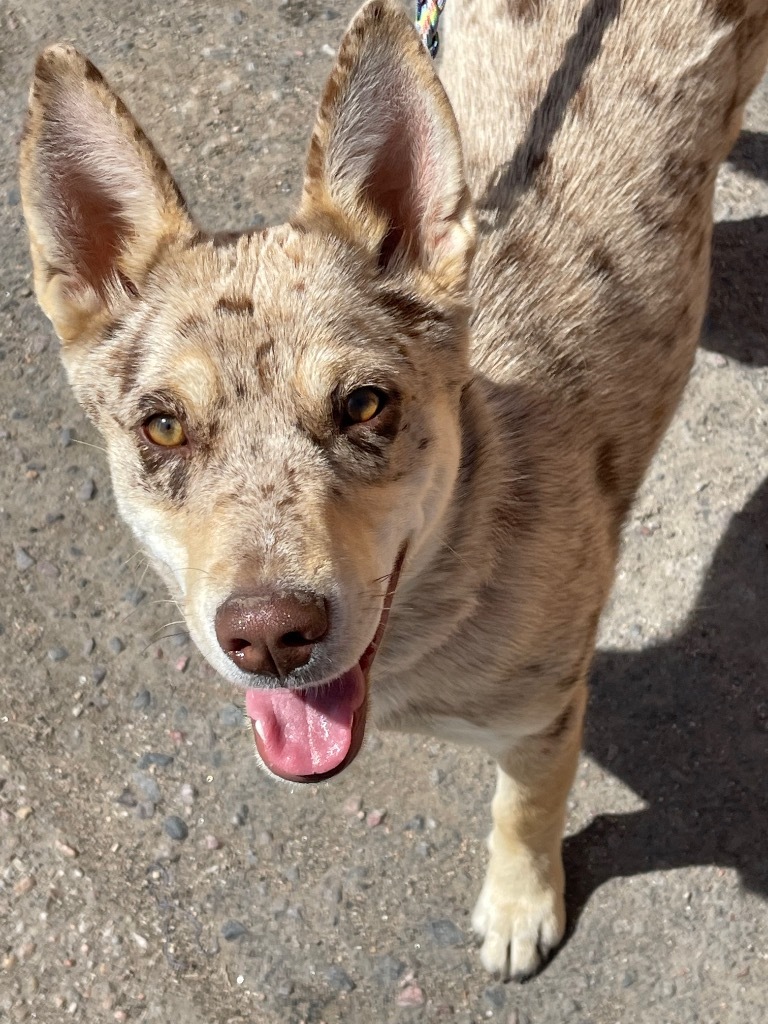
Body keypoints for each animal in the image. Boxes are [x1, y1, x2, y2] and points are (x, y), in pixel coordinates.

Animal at [16, 0, 768, 978]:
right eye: (164, 427)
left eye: (365, 403)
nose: (270, 637)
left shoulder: (547, 715)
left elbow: (525, 809)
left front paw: (521, 907)